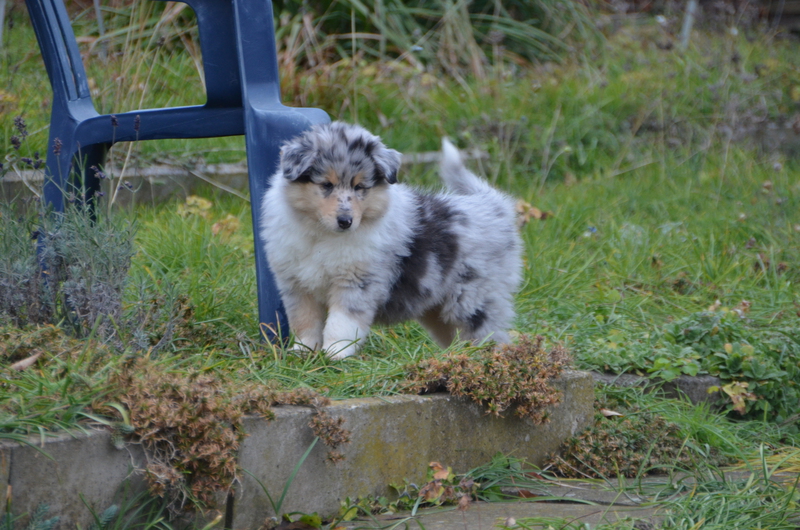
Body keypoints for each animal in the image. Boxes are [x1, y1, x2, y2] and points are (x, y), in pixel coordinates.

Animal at [260, 122, 522, 359]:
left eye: (360, 187)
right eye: (326, 185)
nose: (345, 221)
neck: (323, 236)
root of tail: (492, 205)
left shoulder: (357, 283)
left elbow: (341, 323)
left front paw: (335, 353)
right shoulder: (296, 285)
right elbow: (304, 322)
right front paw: (303, 353)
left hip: (473, 301)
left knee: (491, 334)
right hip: (436, 309)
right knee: (456, 337)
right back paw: (458, 359)